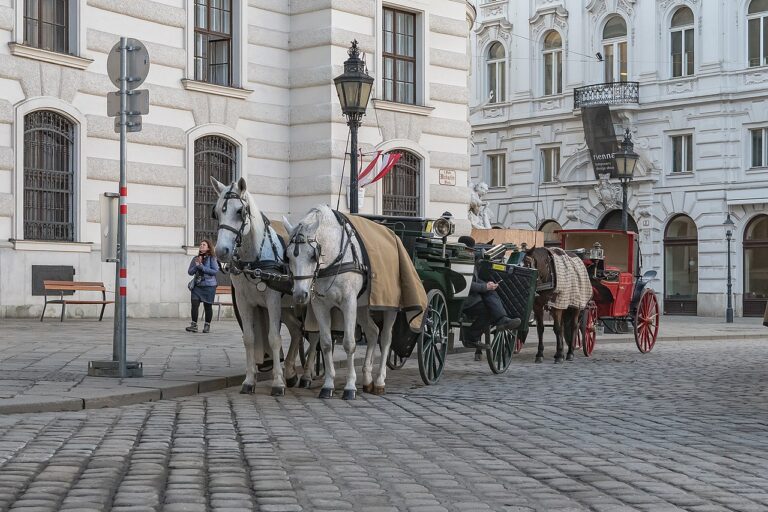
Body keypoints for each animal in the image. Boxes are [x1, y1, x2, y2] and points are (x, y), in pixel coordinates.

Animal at [212, 176, 308, 396]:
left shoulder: (272, 300)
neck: (253, 260)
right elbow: (249, 338)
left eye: (240, 211)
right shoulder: (243, 301)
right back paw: (291, 373)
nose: (221, 251)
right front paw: (249, 381)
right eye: (216, 212)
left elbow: (274, 338)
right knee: (297, 329)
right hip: (287, 306)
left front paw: (278, 383)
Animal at [284, 205, 400, 400]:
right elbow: (325, 343)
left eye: (312, 255)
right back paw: (367, 379)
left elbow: (349, 343)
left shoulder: (348, 303)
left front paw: (350, 386)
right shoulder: (320, 306)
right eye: (288, 257)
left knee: (385, 339)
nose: (300, 295)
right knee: (372, 332)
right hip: (362, 307)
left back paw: (379, 381)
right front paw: (328, 385)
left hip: (387, 305)